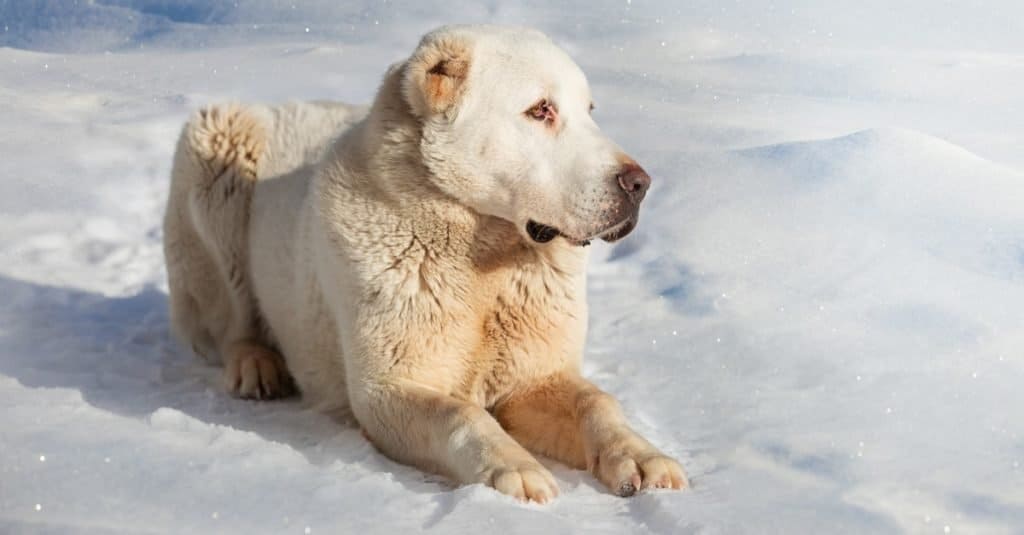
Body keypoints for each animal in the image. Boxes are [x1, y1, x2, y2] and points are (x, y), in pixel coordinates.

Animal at [161, 24, 688, 500]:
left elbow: (596, 402)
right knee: (227, 318)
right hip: (216, 146)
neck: (485, 252)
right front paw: (515, 468)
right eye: (540, 110)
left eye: (590, 111)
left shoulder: (534, 376)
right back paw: (255, 364)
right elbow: (460, 413)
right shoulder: (387, 390)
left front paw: (641, 456)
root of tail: (284, 104)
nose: (639, 184)